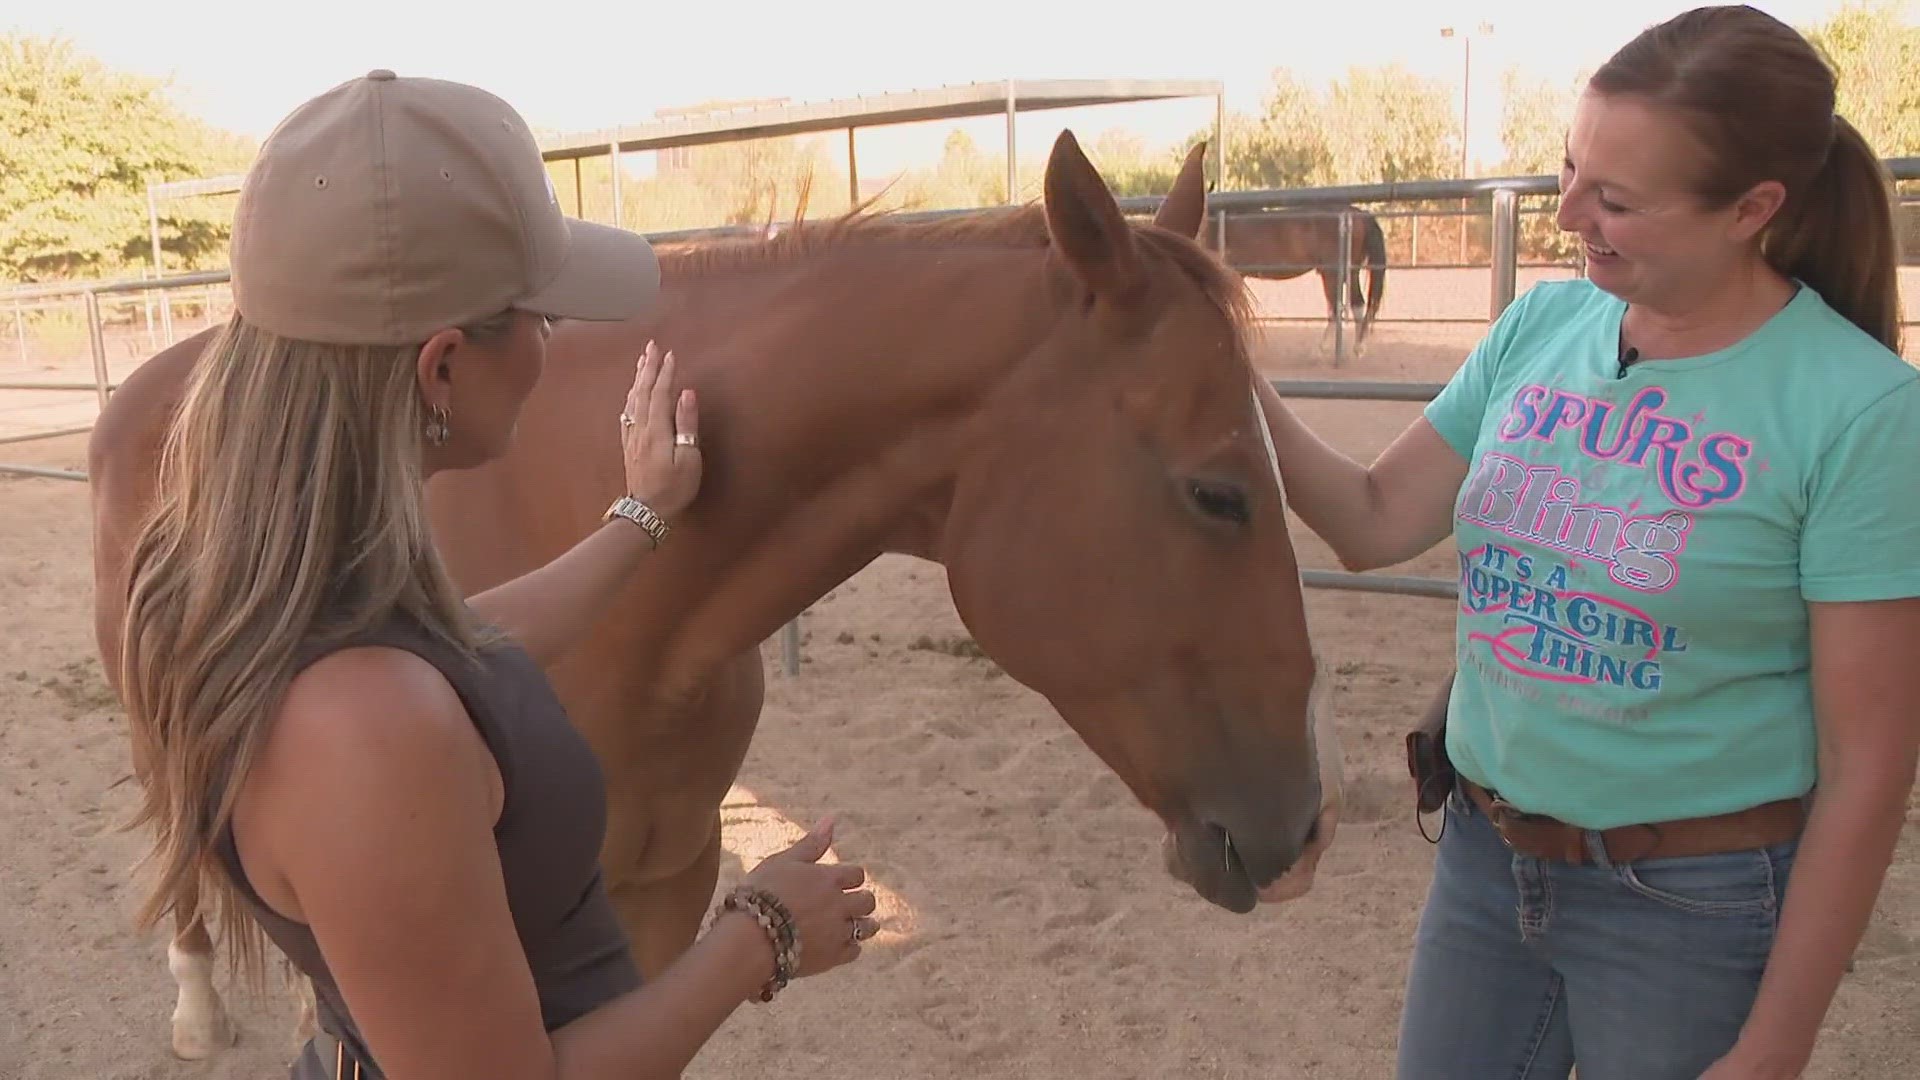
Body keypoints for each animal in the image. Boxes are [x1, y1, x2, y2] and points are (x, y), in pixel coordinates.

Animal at [1205, 199, 1390, 355]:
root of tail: (1358, 213)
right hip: (1349, 273)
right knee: (1356, 304)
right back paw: (1357, 347)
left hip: (1333, 274)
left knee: (1338, 308)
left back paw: (1324, 349)